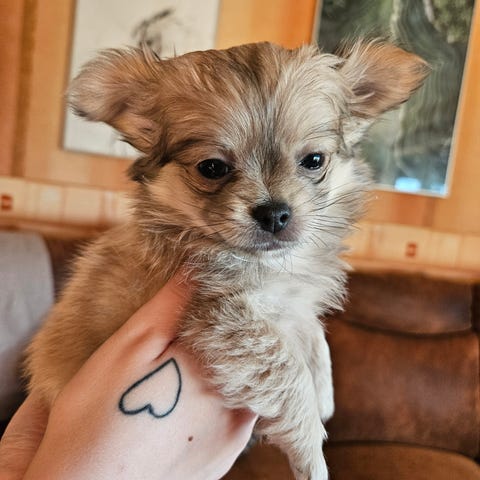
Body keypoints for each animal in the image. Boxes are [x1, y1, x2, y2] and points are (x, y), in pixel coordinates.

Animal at [25, 41, 427, 479]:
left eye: (314, 161)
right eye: (212, 167)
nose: (274, 213)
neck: (271, 264)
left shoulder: (291, 304)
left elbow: (313, 335)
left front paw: (325, 391)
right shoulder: (226, 317)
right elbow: (288, 370)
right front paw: (312, 454)